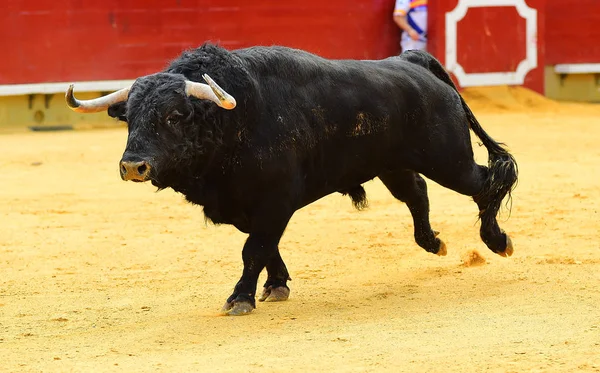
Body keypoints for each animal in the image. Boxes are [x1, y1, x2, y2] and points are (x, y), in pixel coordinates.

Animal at [64, 45, 516, 316]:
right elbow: (266, 247)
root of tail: (409, 61)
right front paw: (276, 285)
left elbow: (254, 249)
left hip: (449, 160)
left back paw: (497, 241)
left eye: (175, 116)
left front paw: (240, 298)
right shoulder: (244, 206)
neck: (233, 121)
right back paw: (434, 242)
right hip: (395, 165)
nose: (132, 166)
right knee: (418, 193)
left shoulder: (275, 200)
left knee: (488, 181)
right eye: (130, 118)